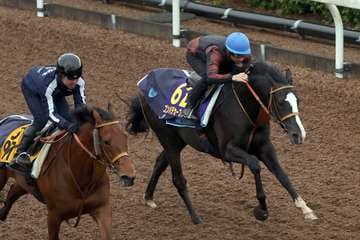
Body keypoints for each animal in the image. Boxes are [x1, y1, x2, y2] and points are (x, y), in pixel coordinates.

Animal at [0, 105, 135, 240]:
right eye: (106, 141)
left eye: (125, 137)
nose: (129, 176)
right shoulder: (54, 216)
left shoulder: (102, 208)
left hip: (25, 182)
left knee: (13, 190)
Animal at [126, 62, 318, 225]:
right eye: (280, 102)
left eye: (298, 101)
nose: (298, 134)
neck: (245, 106)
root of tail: (145, 84)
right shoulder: (227, 150)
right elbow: (255, 165)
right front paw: (262, 210)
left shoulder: (264, 148)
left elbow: (282, 174)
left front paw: (306, 209)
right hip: (169, 139)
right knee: (178, 179)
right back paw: (196, 218)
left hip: (178, 140)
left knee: (160, 162)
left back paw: (149, 197)